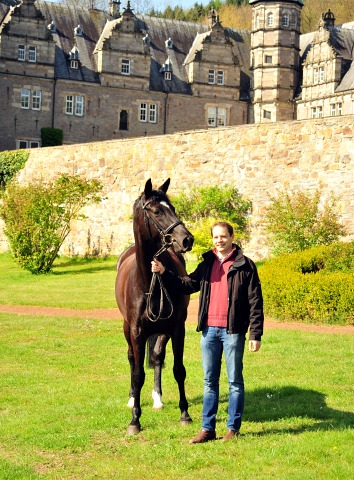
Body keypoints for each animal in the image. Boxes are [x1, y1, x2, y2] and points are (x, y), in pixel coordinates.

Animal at [115, 179, 194, 436]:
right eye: (157, 211)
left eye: (173, 208)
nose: (186, 239)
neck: (148, 278)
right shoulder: (137, 331)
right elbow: (138, 373)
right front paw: (134, 420)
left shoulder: (177, 328)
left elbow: (178, 369)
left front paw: (185, 414)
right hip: (126, 328)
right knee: (132, 358)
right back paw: (132, 398)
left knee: (158, 356)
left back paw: (157, 399)